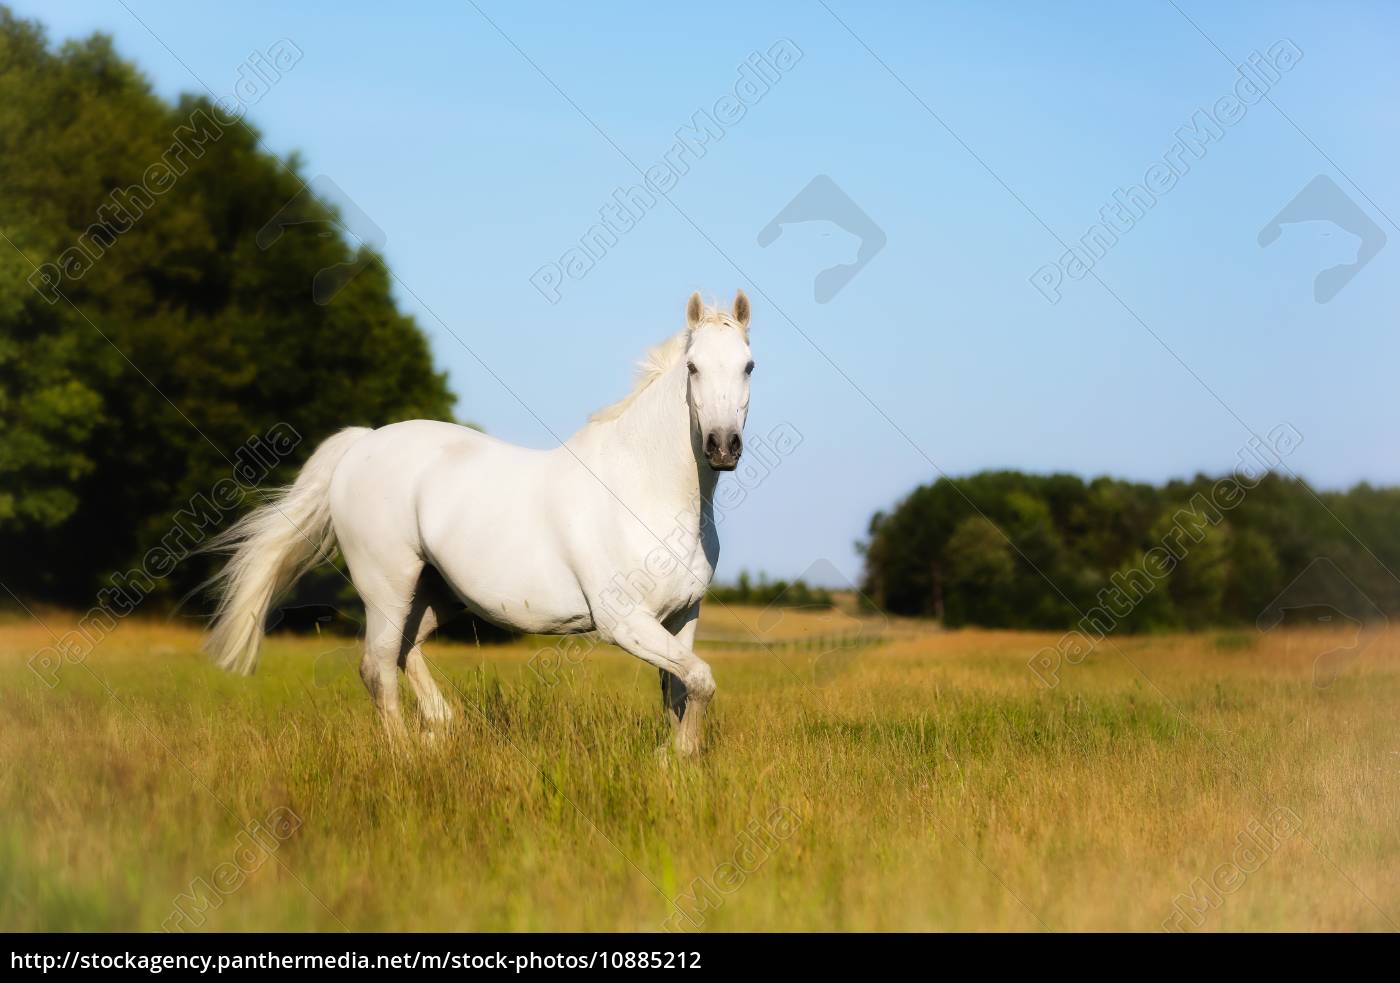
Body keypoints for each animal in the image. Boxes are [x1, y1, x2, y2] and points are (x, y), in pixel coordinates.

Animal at [204, 291, 756, 756]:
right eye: (693, 367)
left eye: (749, 365)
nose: (722, 447)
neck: (647, 492)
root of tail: (361, 444)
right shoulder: (624, 622)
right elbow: (702, 680)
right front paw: (676, 756)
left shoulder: (682, 616)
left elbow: (680, 690)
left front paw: (676, 757)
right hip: (386, 585)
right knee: (377, 667)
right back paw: (405, 754)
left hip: (435, 595)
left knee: (405, 649)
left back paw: (440, 728)